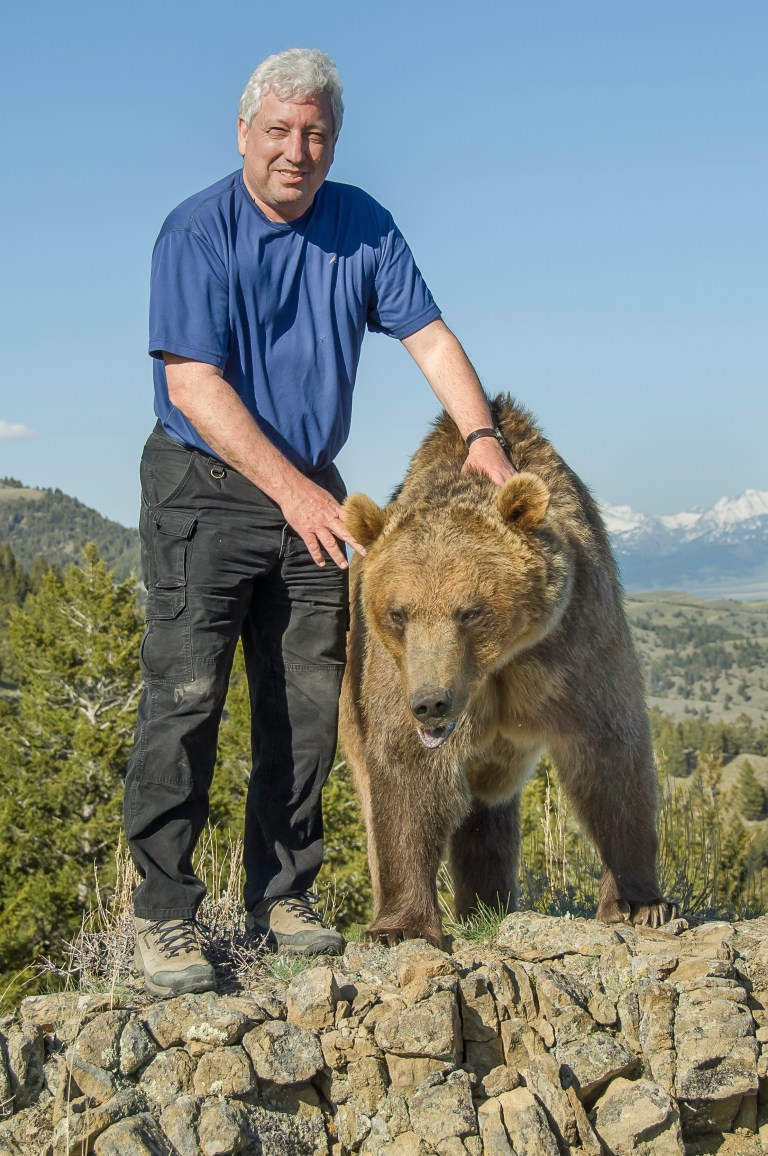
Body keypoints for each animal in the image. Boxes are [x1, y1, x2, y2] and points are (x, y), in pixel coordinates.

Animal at [340, 397, 675, 947]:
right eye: (398, 613)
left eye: (470, 611)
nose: (431, 702)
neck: (497, 666)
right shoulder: (391, 673)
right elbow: (408, 773)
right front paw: (401, 926)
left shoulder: (572, 646)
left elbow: (611, 756)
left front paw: (639, 902)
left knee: (486, 816)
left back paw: (488, 902)